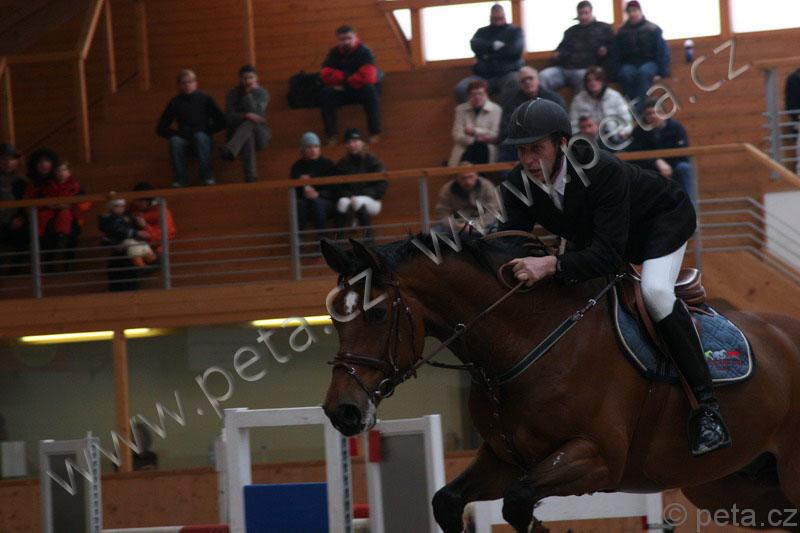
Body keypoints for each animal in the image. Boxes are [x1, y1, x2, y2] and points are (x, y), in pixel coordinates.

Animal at [320, 233, 800, 532]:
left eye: (378, 313)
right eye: (335, 318)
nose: (342, 411)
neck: (527, 341)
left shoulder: (596, 458)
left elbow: (518, 501)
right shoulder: (506, 457)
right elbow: (449, 501)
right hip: (735, 488)